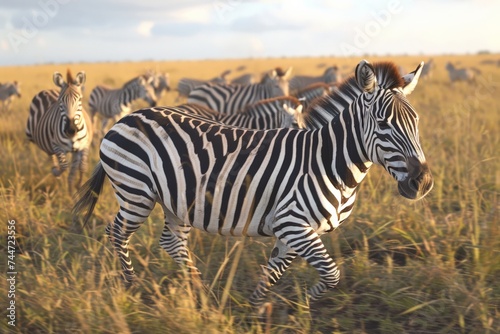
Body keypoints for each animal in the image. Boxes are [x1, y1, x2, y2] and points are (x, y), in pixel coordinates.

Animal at [71, 59, 434, 306]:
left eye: (416, 121)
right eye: (383, 124)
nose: (423, 182)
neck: (328, 161)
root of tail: (128, 117)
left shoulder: (295, 230)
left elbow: (274, 272)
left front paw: (259, 309)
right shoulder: (292, 223)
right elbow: (331, 274)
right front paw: (303, 305)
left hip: (176, 201)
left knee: (171, 242)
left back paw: (199, 292)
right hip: (136, 193)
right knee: (116, 232)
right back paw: (130, 284)